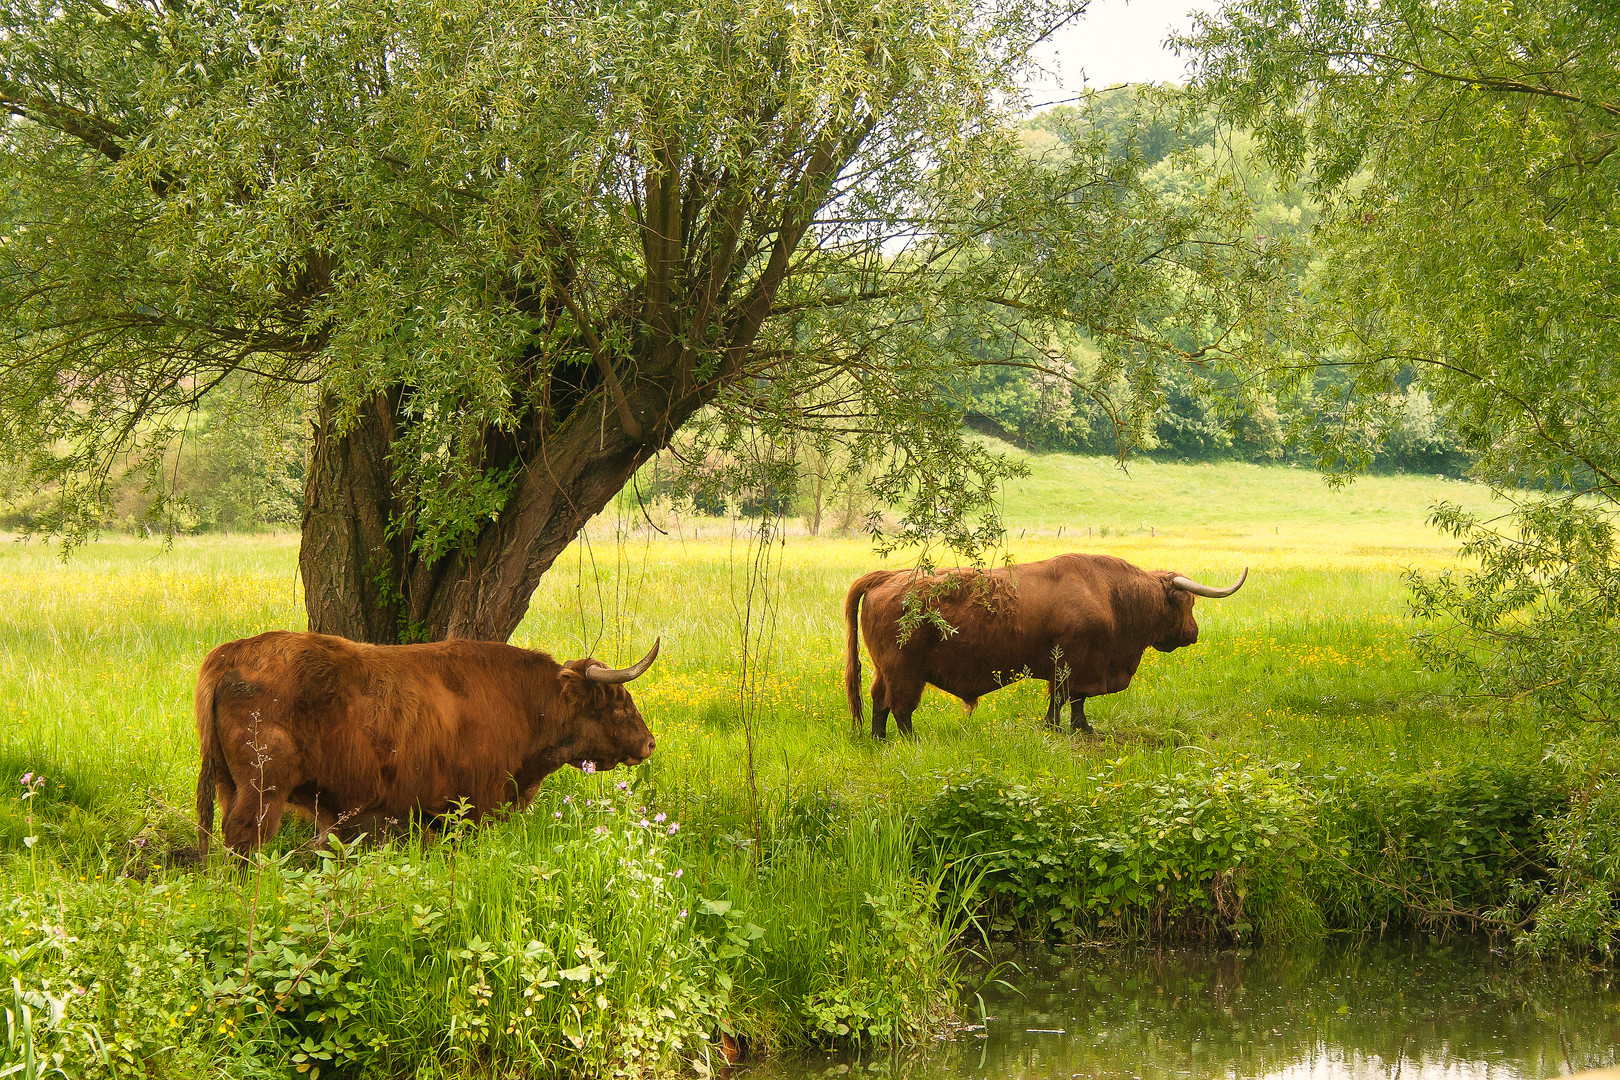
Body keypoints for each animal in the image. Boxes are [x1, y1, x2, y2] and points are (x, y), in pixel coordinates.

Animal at [196, 634, 657, 854]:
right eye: (619, 703)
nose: (650, 743)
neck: (525, 703)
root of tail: (233, 653)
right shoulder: (479, 805)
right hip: (262, 790)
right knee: (244, 838)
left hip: (228, 785)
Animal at [842, 553, 1244, 738]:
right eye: (1187, 602)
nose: (1193, 633)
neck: (1111, 595)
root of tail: (887, 577)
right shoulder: (1069, 661)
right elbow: (1062, 696)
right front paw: (1055, 727)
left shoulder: (1083, 668)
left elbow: (1077, 700)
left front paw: (1082, 728)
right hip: (905, 672)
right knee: (900, 707)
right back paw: (911, 741)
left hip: (884, 670)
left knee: (880, 702)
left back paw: (879, 740)